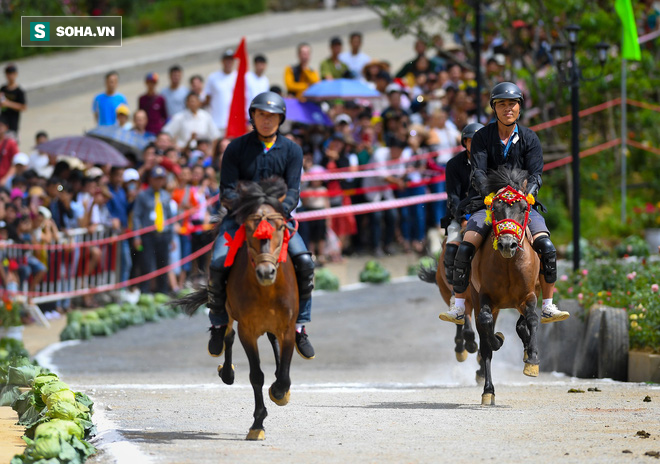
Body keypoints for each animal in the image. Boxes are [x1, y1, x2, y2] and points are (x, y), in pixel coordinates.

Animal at [175, 177, 300, 438]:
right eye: (250, 228)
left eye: (280, 227)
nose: (266, 272)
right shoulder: (247, 330)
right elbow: (256, 375)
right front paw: (257, 423)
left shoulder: (287, 327)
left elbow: (284, 373)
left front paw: (279, 392)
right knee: (227, 334)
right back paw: (226, 368)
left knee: (271, 340)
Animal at [466, 167, 540, 406]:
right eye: (495, 208)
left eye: (524, 207)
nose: (508, 244)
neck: (508, 263)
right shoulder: (485, 297)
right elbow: (486, 326)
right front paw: (498, 339)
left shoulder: (528, 295)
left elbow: (532, 318)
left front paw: (532, 359)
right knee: (485, 339)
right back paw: (488, 391)